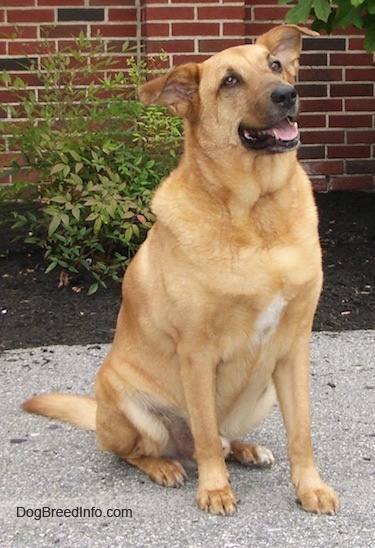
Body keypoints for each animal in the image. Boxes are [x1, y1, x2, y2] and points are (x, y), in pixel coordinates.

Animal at [22, 24, 340, 512]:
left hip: (262, 392)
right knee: (146, 449)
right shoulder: (197, 352)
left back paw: (245, 449)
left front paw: (311, 488)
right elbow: (205, 434)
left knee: (222, 438)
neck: (257, 215)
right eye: (229, 81)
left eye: (274, 65)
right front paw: (214, 489)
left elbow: (300, 433)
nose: (287, 94)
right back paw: (165, 466)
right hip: (128, 403)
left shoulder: (293, 347)